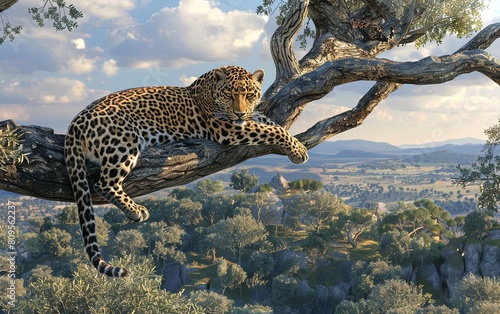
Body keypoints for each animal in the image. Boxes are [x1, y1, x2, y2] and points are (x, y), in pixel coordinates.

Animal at [65, 65, 308, 276]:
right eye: (229, 95)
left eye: (249, 94)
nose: (239, 113)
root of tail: (75, 122)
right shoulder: (227, 128)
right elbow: (272, 131)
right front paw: (299, 151)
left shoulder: (248, 118)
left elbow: (270, 123)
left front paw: (295, 145)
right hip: (124, 142)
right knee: (103, 183)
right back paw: (136, 210)